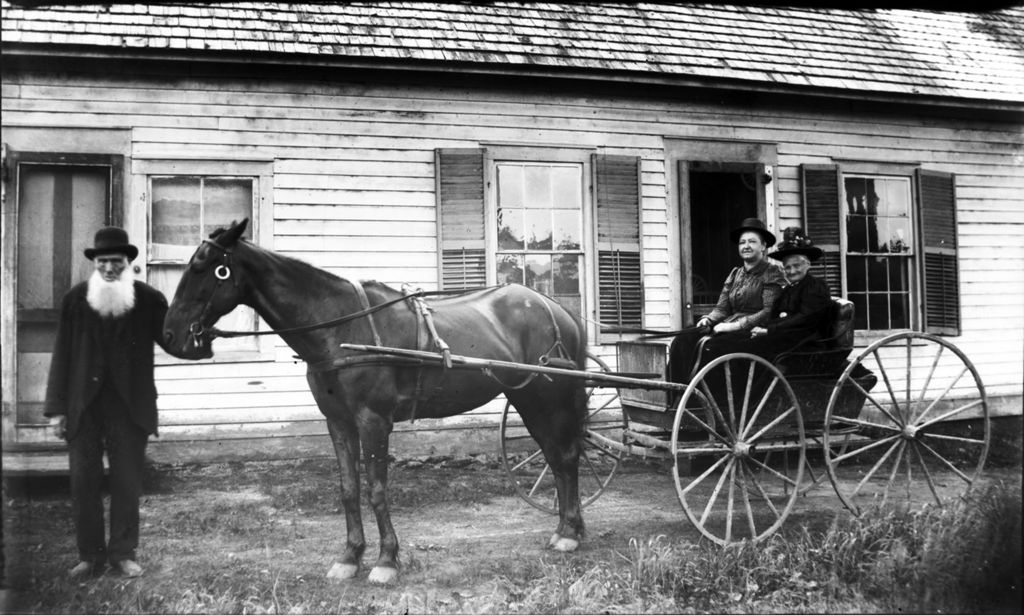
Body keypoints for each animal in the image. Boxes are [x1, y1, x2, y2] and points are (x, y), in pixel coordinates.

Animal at [163, 217, 589, 581]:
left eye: (205, 267)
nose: (170, 335)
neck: (340, 327)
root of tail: (558, 310)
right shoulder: (338, 422)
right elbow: (349, 490)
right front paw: (350, 557)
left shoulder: (374, 421)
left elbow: (377, 489)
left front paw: (386, 560)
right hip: (528, 399)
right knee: (557, 458)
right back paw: (567, 528)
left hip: (547, 398)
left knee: (565, 457)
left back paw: (569, 532)